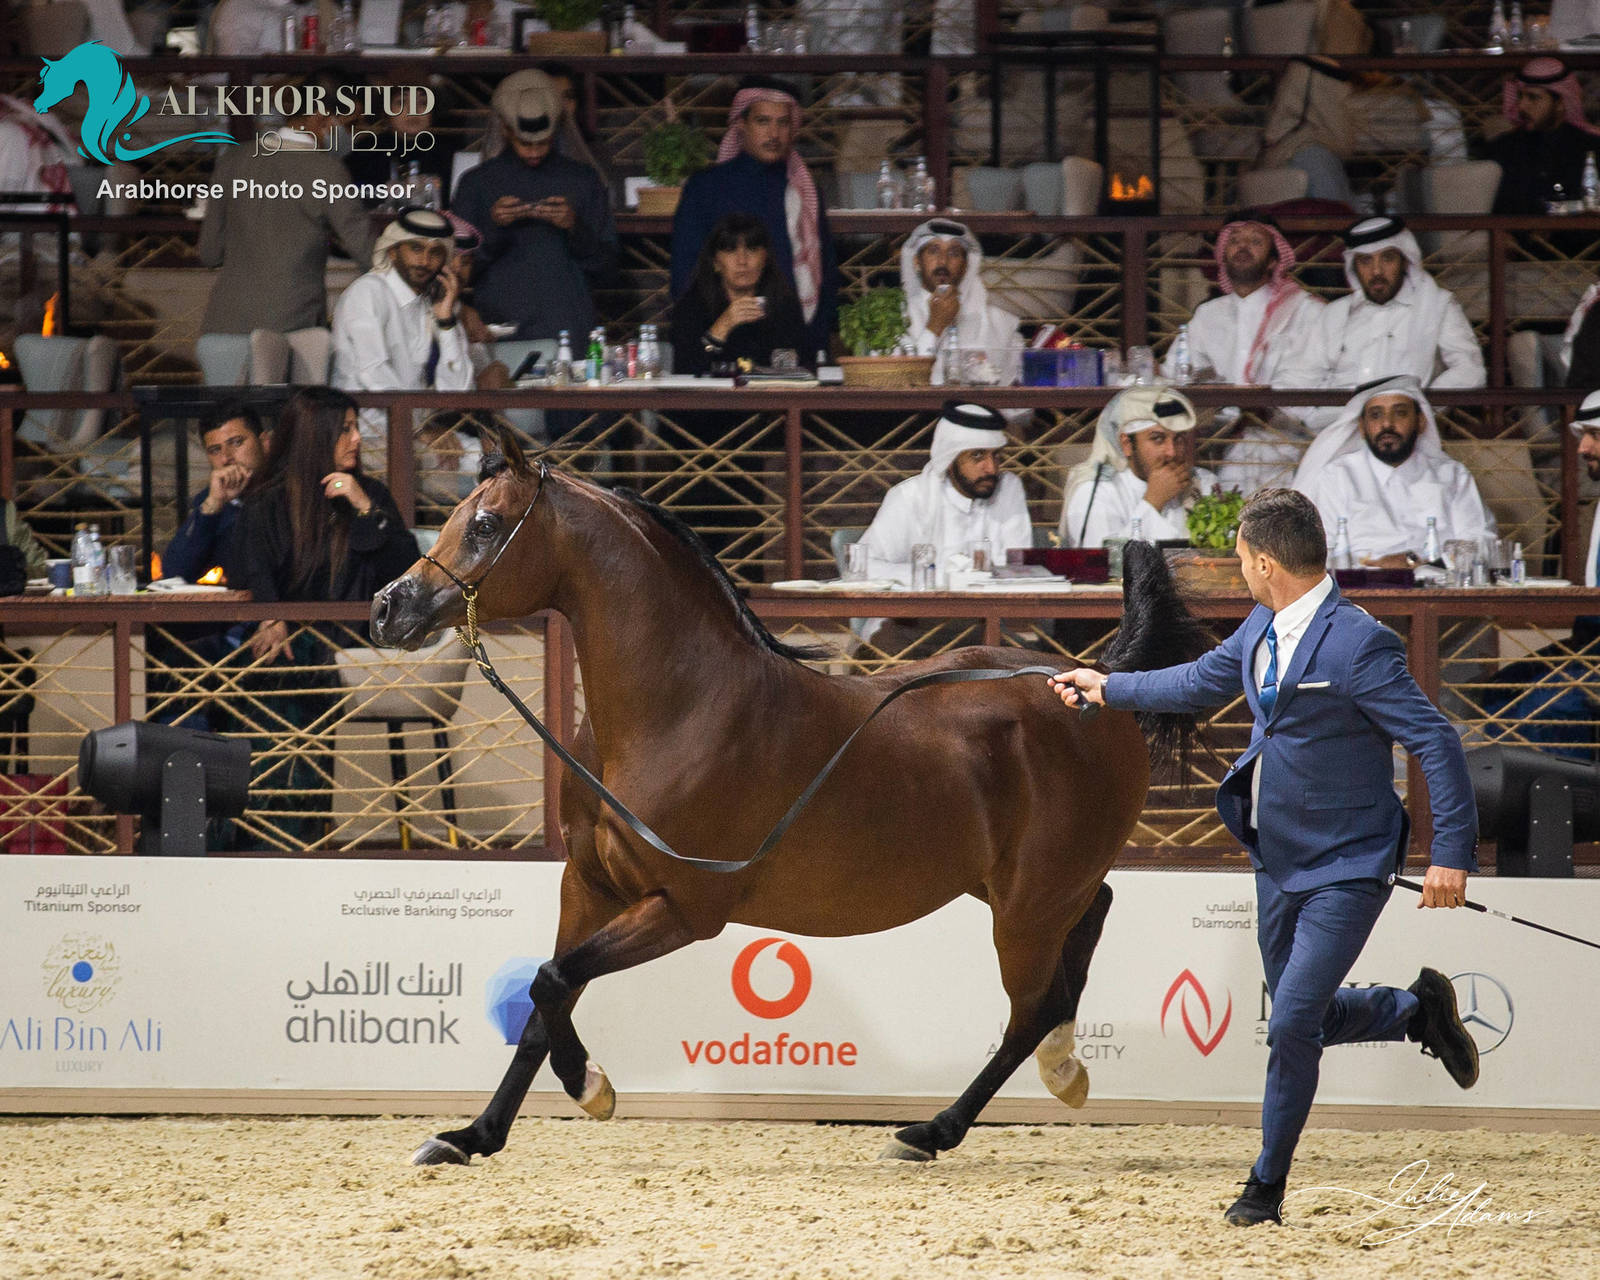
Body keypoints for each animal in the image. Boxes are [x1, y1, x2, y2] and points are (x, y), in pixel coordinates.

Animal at [370, 429, 1211, 1167]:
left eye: (486, 523)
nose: (387, 607)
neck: (680, 711)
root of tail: (1094, 685)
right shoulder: (589, 885)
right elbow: (547, 1001)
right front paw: (472, 1136)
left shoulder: (686, 909)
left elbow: (552, 983)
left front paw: (593, 1090)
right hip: (1016, 888)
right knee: (1090, 923)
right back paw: (1058, 1070)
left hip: (1028, 905)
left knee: (1031, 1008)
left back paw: (935, 1129)